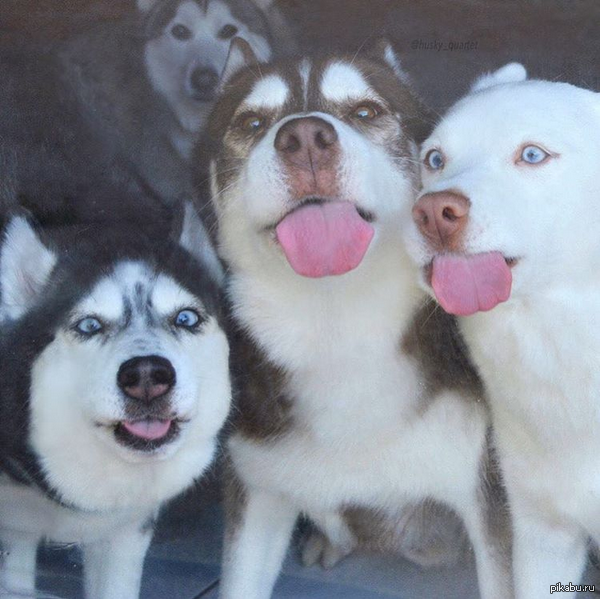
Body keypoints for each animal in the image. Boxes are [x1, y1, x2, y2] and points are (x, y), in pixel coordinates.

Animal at [198, 38, 512, 599]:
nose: (304, 138)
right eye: (252, 122)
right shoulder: (256, 494)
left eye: (365, 112)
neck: (337, 329)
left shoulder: (494, 502)